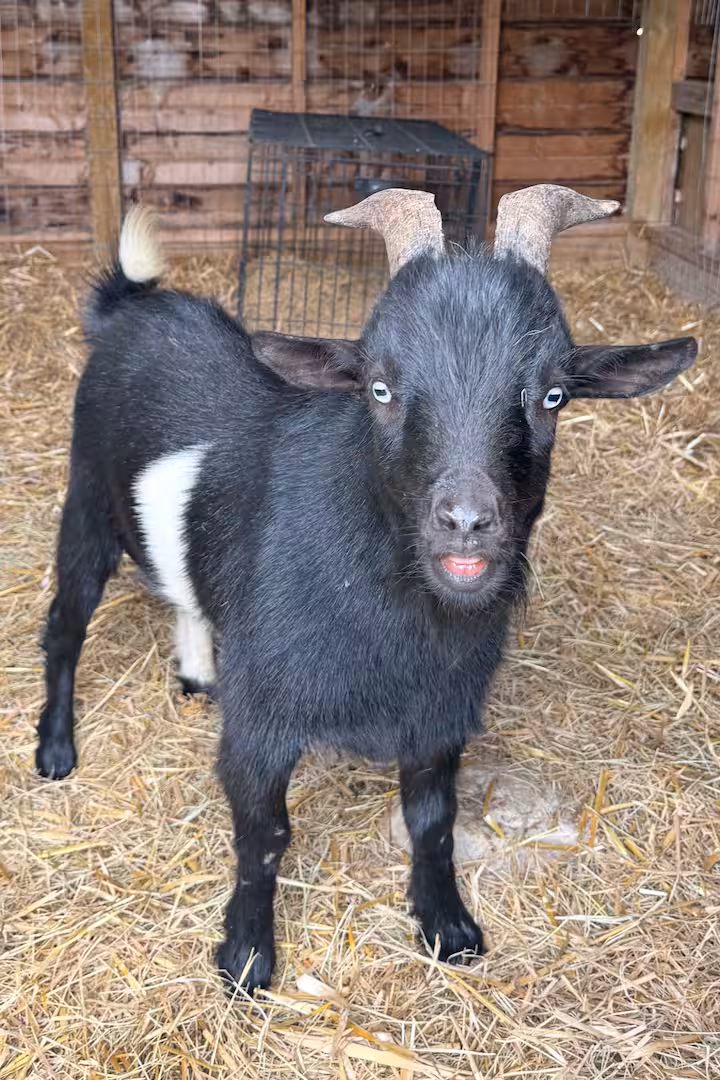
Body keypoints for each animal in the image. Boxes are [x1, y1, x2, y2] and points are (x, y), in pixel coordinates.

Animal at [36, 186, 697, 993]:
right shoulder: (262, 718)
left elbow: (434, 821)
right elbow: (264, 833)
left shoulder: (439, 712)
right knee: (65, 625)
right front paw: (247, 955)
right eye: (380, 387)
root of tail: (132, 307)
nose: (467, 521)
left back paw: (195, 671)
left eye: (554, 395)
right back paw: (56, 747)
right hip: (86, 505)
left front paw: (447, 924)